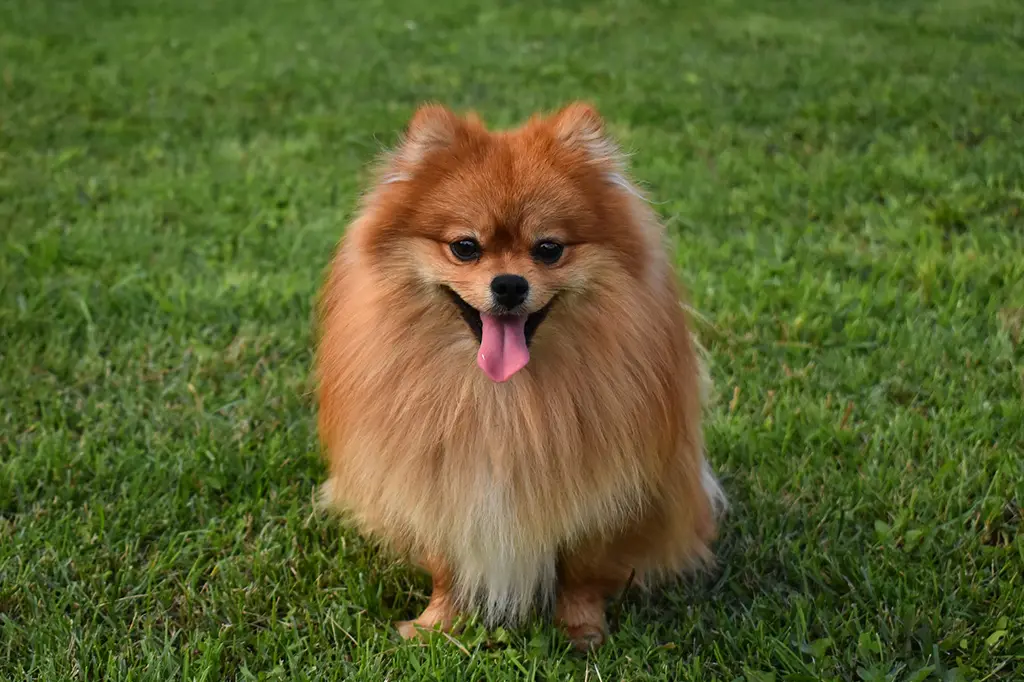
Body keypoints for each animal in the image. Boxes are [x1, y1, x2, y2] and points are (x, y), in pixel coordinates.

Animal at [315, 100, 724, 647]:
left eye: (548, 249)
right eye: (465, 247)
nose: (509, 284)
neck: (500, 398)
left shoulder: (601, 493)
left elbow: (582, 570)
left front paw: (581, 631)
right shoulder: (439, 482)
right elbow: (446, 564)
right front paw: (436, 625)